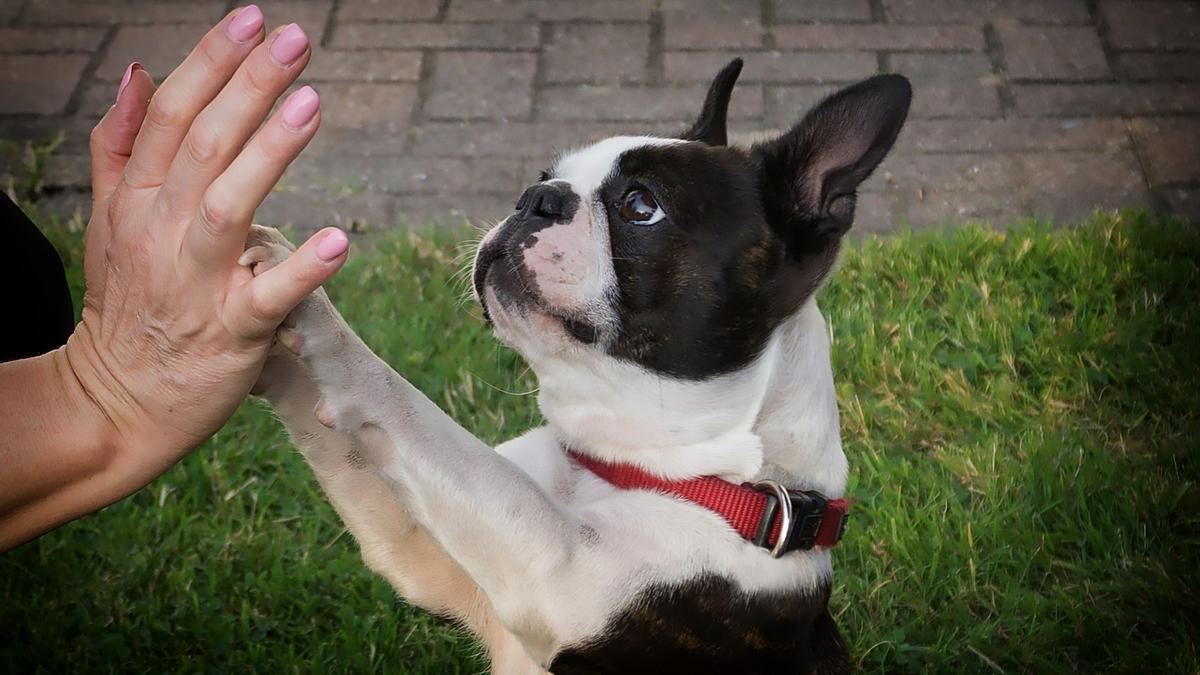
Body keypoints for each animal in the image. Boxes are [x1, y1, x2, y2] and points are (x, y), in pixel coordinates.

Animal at [248, 59, 912, 672]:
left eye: (641, 206)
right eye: (546, 177)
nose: (535, 198)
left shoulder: (555, 567)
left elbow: (416, 413)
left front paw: (317, 321)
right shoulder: (421, 554)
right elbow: (345, 447)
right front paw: (261, 318)